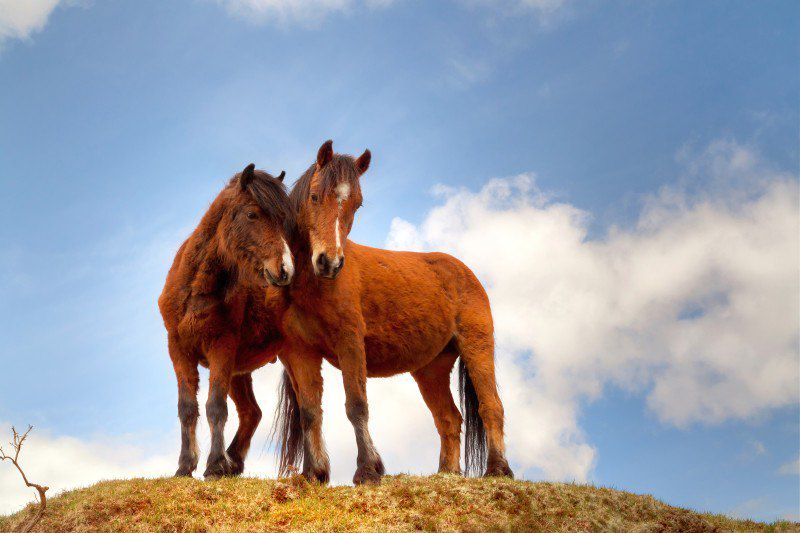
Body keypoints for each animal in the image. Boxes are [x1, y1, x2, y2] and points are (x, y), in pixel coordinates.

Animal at [157, 163, 294, 478]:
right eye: (252, 214)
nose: (284, 269)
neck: (195, 288)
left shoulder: (220, 347)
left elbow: (215, 407)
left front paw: (215, 464)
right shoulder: (179, 349)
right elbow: (187, 408)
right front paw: (185, 466)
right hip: (239, 372)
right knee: (252, 413)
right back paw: (235, 461)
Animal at [274, 140, 512, 482]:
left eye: (357, 204)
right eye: (315, 196)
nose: (329, 263)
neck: (313, 285)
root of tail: (464, 272)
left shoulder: (350, 343)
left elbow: (356, 405)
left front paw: (367, 470)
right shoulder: (300, 352)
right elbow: (310, 412)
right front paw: (315, 473)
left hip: (476, 347)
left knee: (491, 406)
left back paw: (498, 469)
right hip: (431, 369)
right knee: (449, 419)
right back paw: (447, 473)